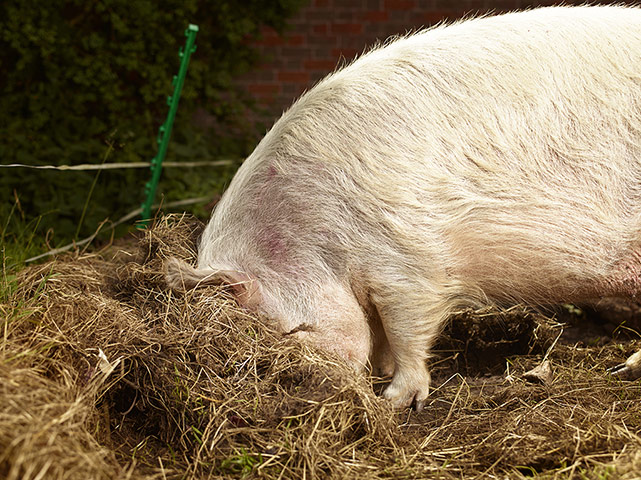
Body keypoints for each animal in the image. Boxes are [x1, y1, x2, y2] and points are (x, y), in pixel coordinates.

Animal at [167, 5, 641, 410]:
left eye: (293, 330)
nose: (312, 385)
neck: (318, 234)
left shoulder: (410, 258)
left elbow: (406, 330)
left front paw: (393, 401)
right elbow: (380, 334)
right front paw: (381, 376)